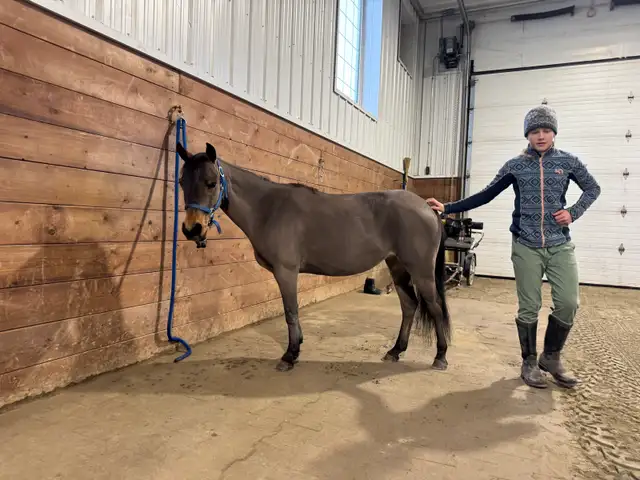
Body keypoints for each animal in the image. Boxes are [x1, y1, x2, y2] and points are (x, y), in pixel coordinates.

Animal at [176, 141, 452, 372]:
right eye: (181, 182)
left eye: (211, 182)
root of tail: (428, 208)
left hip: (421, 271)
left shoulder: (286, 271)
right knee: (409, 306)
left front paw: (290, 355)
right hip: (397, 266)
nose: (192, 229)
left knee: (435, 307)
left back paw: (440, 357)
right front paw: (296, 346)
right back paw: (395, 351)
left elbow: (291, 311)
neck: (269, 208)